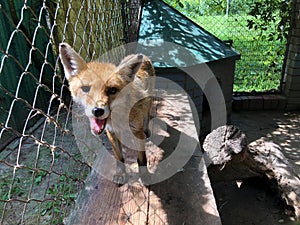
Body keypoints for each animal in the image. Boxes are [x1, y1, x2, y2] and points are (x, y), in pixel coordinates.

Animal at [59, 43, 156, 184]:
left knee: (147, 117)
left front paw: (145, 175)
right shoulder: (111, 132)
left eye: (112, 90)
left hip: (148, 103)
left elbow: (142, 158)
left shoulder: (136, 131)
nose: (97, 111)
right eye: (85, 89)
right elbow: (119, 157)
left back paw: (147, 131)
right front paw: (121, 174)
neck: (119, 118)